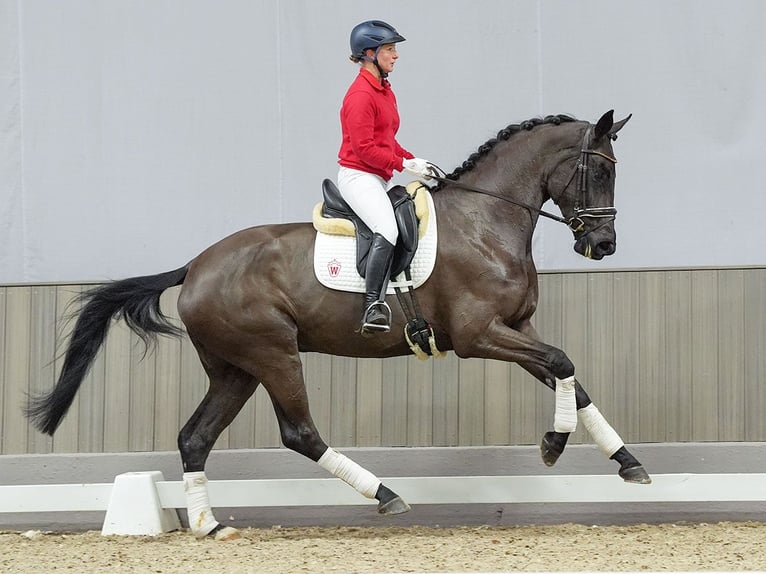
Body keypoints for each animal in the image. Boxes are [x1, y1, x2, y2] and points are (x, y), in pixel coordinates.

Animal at [25, 110, 648, 544]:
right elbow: (563, 362)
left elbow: (571, 378)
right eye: (598, 170)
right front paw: (553, 445)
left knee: (195, 437)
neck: (486, 219)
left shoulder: (518, 326)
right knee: (299, 432)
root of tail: (196, 265)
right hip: (274, 355)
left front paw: (629, 464)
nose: (604, 245)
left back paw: (209, 525)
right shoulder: (479, 336)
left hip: (235, 370)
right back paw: (387, 495)